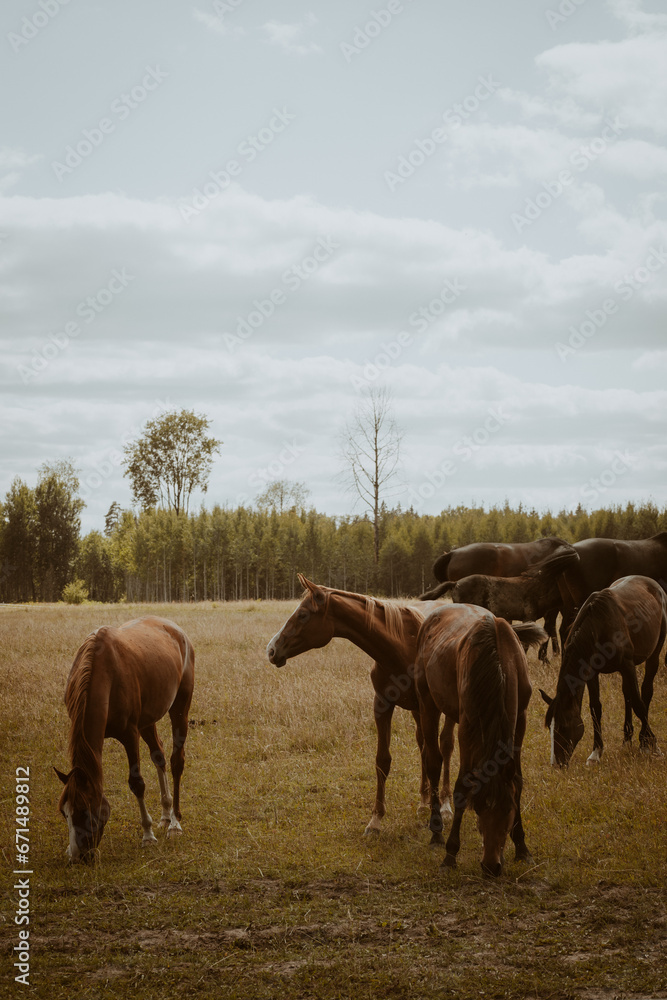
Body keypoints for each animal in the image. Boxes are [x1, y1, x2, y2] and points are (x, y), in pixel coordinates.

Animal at [56, 616, 194, 860]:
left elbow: (136, 783)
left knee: (176, 762)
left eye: (84, 811)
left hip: (179, 710)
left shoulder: (130, 734)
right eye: (64, 813)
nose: (77, 856)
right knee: (159, 756)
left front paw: (148, 836)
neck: (103, 673)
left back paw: (174, 823)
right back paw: (165, 814)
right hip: (148, 720)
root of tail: (177, 630)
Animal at [418, 600, 548, 876]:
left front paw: (522, 847)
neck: (499, 661)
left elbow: (518, 781)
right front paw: (450, 853)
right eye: (478, 808)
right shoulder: (468, 727)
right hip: (427, 701)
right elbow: (461, 786)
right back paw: (436, 832)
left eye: (509, 811)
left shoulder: (519, 721)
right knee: (433, 761)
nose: (491, 866)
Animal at [540, 576, 664, 768]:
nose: (556, 763)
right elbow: (595, 708)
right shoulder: (592, 673)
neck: (598, 626)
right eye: (550, 728)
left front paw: (654, 746)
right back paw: (627, 740)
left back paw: (643, 741)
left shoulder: (627, 666)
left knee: (645, 691)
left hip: (654, 654)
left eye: (562, 726)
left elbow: (639, 704)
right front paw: (596, 752)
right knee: (627, 694)